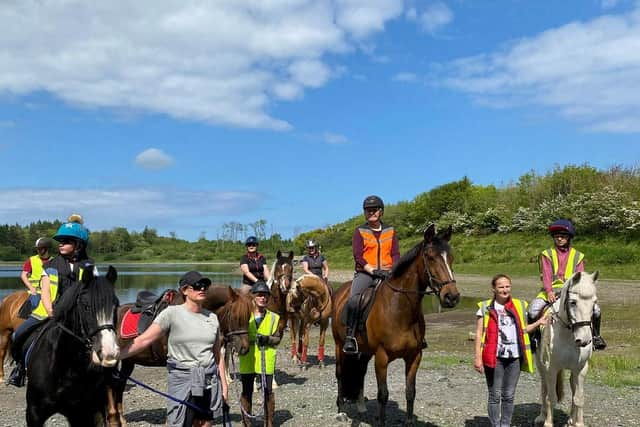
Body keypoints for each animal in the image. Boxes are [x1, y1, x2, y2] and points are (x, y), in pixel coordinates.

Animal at [330, 226, 460, 426]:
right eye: (430, 257)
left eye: (451, 258)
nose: (451, 297)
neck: (400, 310)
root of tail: (340, 292)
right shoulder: (382, 358)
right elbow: (383, 394)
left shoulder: (414, 356)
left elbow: (410, 392)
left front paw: (409, 422)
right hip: (340, 346)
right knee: (339, 374)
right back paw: (341, 411)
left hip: (365, 351)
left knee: (360, 372)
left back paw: (361, 406)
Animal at [536, 270, 600, 427]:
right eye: (573, 302)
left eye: (594, 303)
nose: (584, 340)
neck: (568, 334)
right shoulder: (551, 368)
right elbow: (551, 397)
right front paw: (548, 423)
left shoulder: (581, 368)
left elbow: (579, 397)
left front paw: (579, 423)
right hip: (541, 366)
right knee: (544, 388)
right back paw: (541, 416)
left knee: (572, 388)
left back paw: (571, 418)